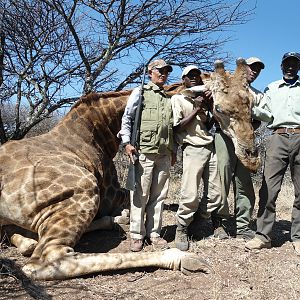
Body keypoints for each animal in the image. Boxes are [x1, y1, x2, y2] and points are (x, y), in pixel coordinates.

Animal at [0, 59, 258, 282]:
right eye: (220, 108)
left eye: (250, 105)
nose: (252, 159)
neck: (99, 129)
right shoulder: (112, 193)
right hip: (85, 188)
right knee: (47, 259)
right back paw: (182, 257)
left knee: (29, 243)